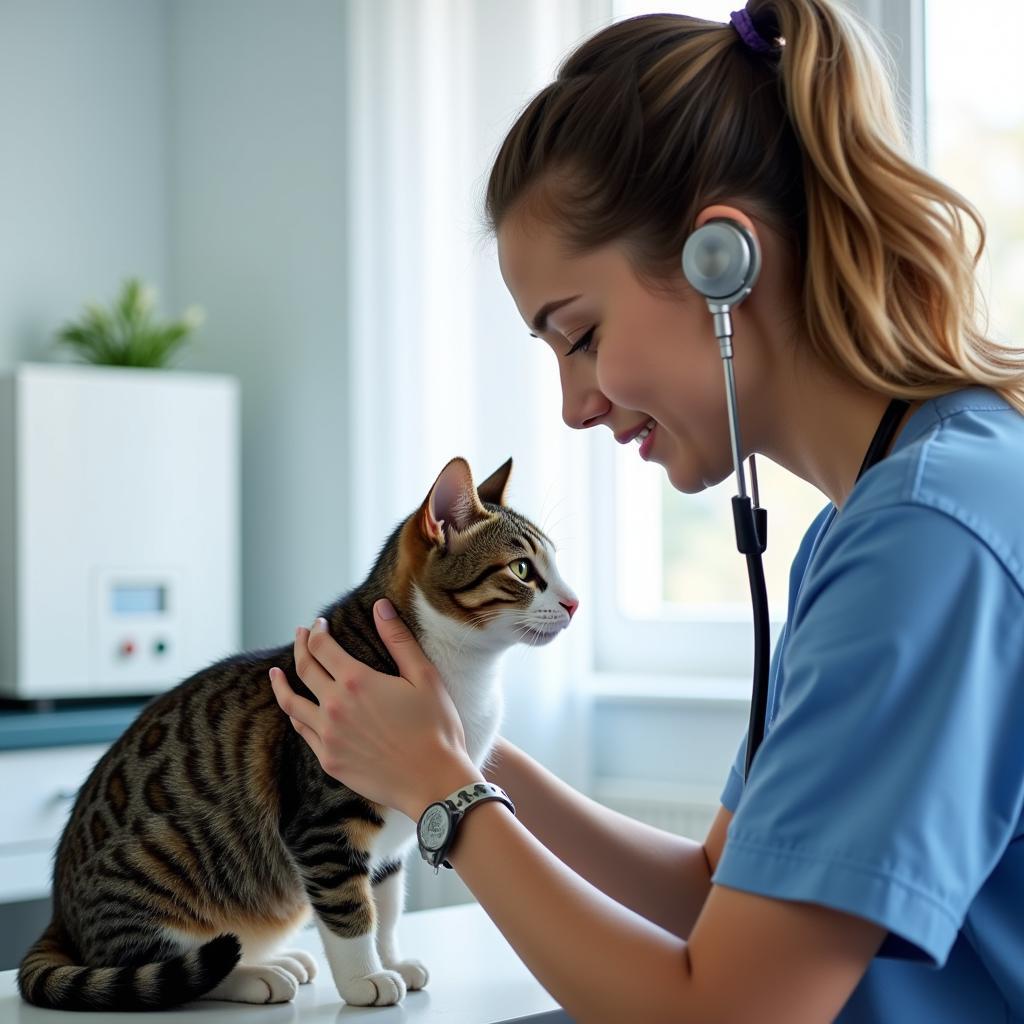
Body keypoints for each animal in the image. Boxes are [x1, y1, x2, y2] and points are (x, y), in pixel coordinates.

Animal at [18, 460, 577, 1011]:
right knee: (169, 965)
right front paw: (364, 980)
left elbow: (387, 906)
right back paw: (256, 975)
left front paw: (391, 961)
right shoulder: (324, 825)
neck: (462, 676)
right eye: (523, 570)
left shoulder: (393, 840)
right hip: (160, 865)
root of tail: (60, 915)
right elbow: (352, 909)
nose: (574, 603)